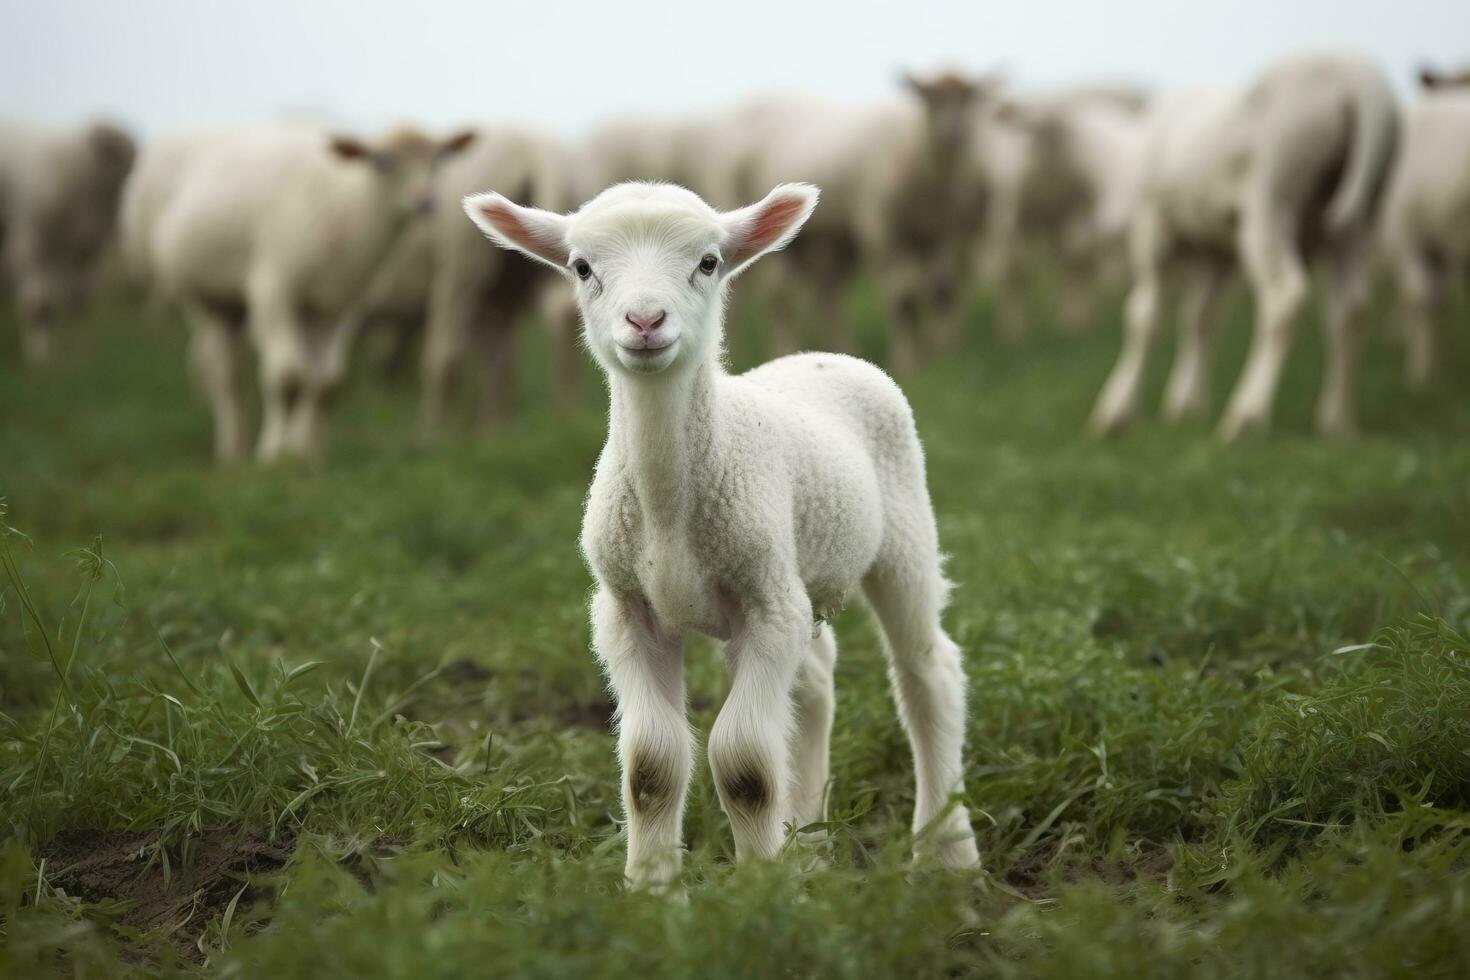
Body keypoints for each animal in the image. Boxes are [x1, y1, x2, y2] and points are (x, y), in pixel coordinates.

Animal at [124, 122, 476, 461]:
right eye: (382, 161)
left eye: (437, 160)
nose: (425, 202)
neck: (350, 208)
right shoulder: (273, 288)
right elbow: (287, 378)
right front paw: (273, 454)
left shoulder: (341, 305)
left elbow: (328, 383)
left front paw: (309, 452)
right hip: (205, 297)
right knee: (224, 374)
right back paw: (232, 449)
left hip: (262, 308)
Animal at [464, 178, 981, 887]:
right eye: (581, 267)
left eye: (708, 262)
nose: (645, 322)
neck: (668, 514)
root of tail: (818, 356)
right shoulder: (629, 611)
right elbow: (650, 767)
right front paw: (653, 888)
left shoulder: (764, 607)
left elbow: (744, 767)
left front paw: (759, 890)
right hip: (794, 581)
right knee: (814, 682)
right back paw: (809, 843)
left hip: (900, 537)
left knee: (928, 673)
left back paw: (947, 851)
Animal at [1093, 51, 1399, 437]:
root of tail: (1361, 83)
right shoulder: (1220, 253)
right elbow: (1202, 317)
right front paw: (1186, 405)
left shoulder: (1153, 224)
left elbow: (1143, 317)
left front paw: (1117, 410)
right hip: (1360, 220)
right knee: (1351, 309)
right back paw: (1336, 422)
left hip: (1273, 195)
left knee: (1284, 296)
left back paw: (1247, 415)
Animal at [1375, 67, 1470, 387]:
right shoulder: (1424, 243)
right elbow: (1430, 300)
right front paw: (1429, 371)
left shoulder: (1412, 240)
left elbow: (1423, 298)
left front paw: (1421, 372)